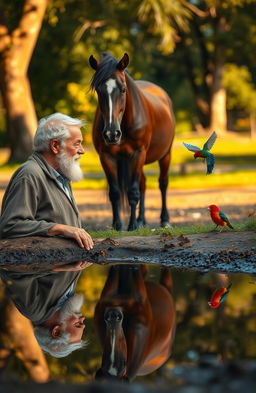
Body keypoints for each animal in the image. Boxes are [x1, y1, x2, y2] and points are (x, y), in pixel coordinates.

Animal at [89, 52, 175, 230]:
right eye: (98, 90)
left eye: (123, 89)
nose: (111, 134)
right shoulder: (106, 156)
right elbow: (115, 192)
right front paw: (117, 225)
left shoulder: (138, 153)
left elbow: (133, 191)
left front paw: (132, 225)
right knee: (143, 184)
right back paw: (142, 220)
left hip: (165, 155)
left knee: (162, 183)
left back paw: (164, 220)